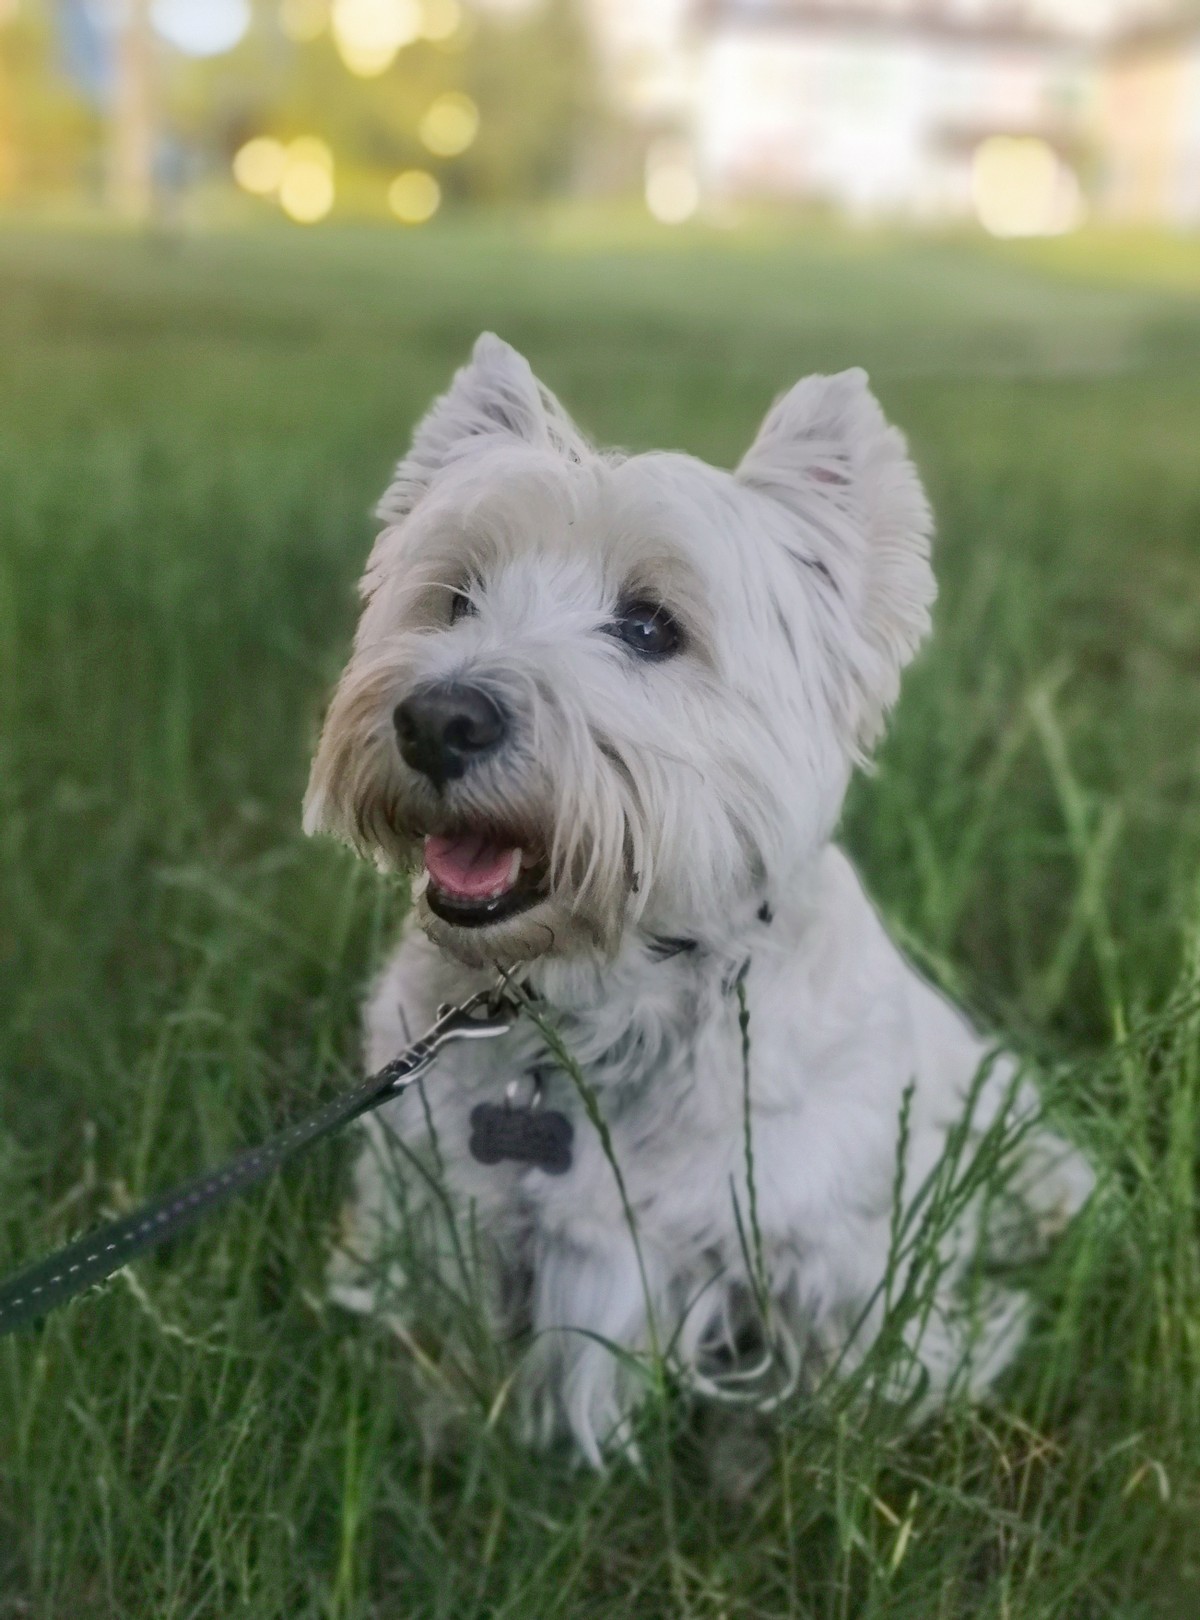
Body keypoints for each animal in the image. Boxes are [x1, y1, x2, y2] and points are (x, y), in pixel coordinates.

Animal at [304, 335, 1088, 1464]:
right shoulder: (440, 1203)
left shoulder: (828, 1252)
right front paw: (442, 1420)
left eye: (649, 626)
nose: (437, 719)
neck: (594, 1001)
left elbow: (851, 1378)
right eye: (456, 598)